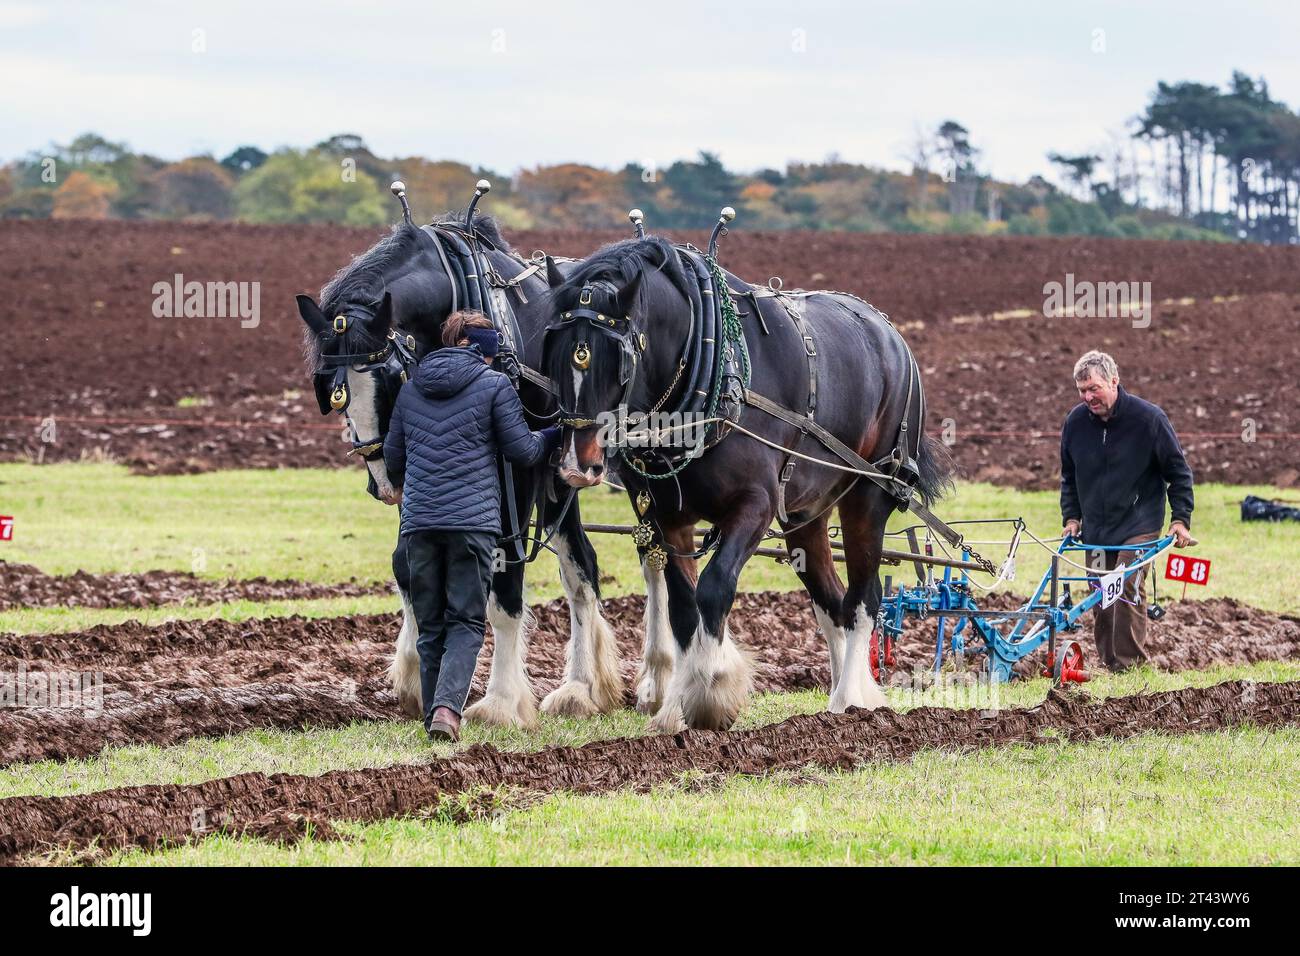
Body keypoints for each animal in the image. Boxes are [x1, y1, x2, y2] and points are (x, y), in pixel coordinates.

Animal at [297, 214, 621, 723]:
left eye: (390, 375)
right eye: (333, 389)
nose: (384, 482)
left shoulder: (517, 473)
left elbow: (505, 587)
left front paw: (501, 701)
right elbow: (407, 567)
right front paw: (413, 678)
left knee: (613, 565)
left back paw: (610, 685)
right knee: (580, 566)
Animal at [540, 239, 956, 733]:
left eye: (617, 362)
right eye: (553, 348)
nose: (575, 464)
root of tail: (892, 336)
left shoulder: (755, 504)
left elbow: (714, 588)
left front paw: (711, 693)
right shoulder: (665, 516)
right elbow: (683, 608)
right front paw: (674, 708)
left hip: (869, 495)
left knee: (863, 598)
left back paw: (848, 702)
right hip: (805, 514)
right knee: (831, 599)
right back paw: (847, 694)